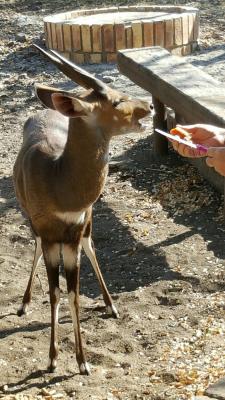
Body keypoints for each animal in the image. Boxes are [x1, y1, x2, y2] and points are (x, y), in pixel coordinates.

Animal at [12, 45, 153, 376]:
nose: (150, 105)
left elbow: (73, 293)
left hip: (84, 225)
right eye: (116, 101)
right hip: (35, 225)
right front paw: (52, 359)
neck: (58, 180)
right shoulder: (49, 234)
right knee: (36, 249)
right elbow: (55, 292)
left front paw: (82, 361)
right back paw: (24, 303)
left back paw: (111, 305)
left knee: (91, 248)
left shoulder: (73, 235)